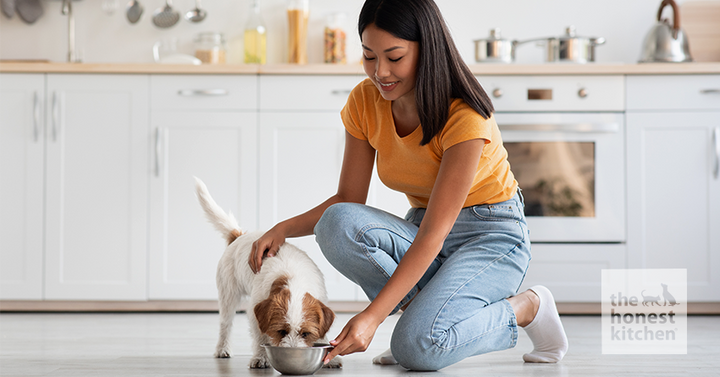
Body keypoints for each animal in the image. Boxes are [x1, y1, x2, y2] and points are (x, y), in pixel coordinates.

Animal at [190, 178, 338, 368]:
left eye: (305, 334)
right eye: (281, 331)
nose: (293, 352)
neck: (294, 280)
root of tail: (239, 236)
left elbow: (323, 332)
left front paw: (331, 358)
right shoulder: (256, 313)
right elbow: (260, 337)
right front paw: (261, 357)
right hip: (228, 296)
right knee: (225, 324)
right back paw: (222, 349)